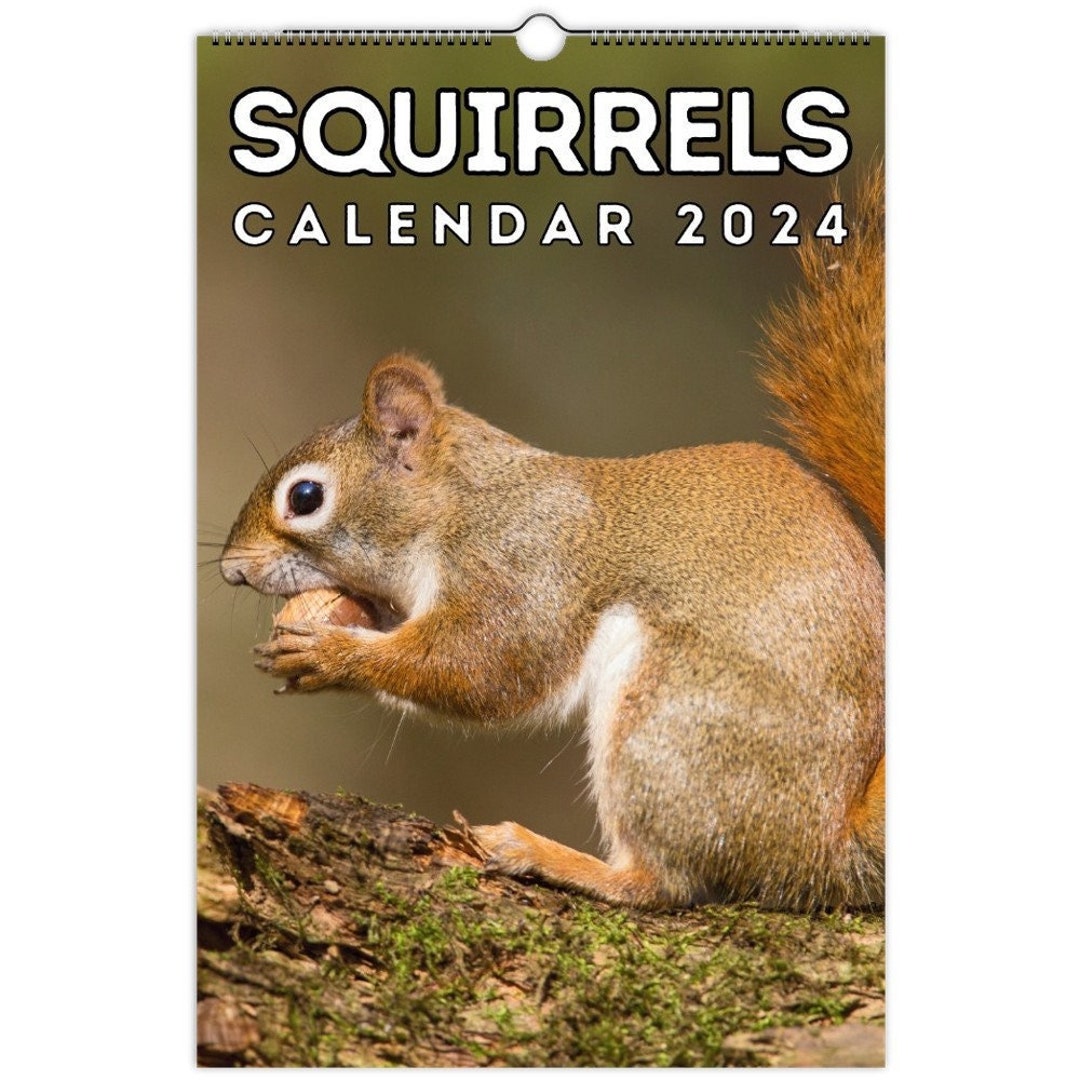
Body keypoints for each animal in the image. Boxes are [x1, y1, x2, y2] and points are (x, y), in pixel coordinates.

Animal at [221, 164, 885, 913]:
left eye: (305, 498)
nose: (231, 569)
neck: (460, 504)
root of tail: (826, 850)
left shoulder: (521, 565)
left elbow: (483, 667)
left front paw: (330, 654)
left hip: (670, 722)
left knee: (660, 883)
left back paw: (546, 855)